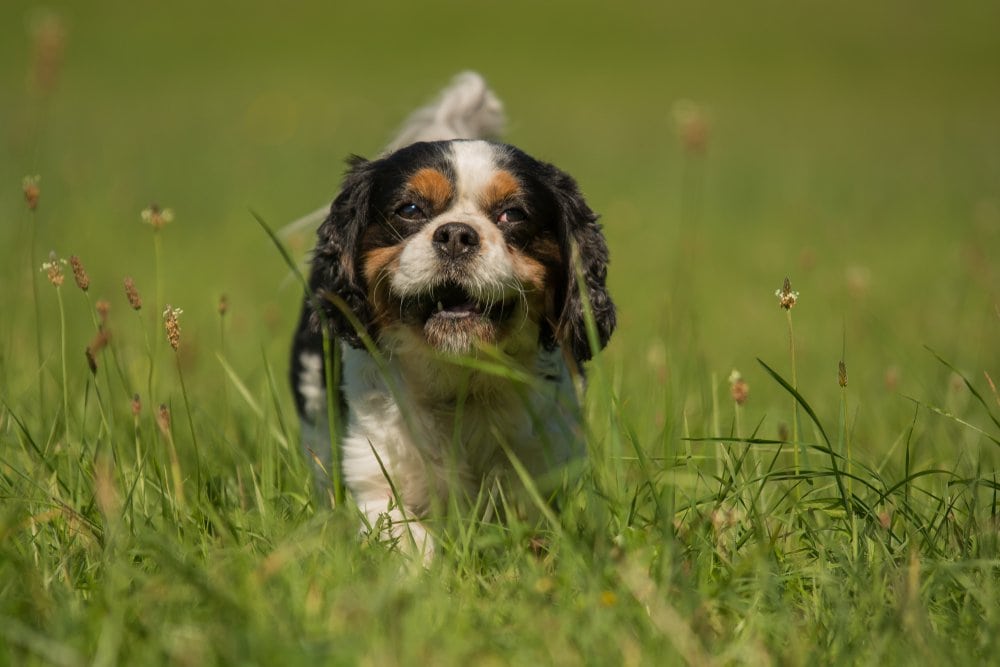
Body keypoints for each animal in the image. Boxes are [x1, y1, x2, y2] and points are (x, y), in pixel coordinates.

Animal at [292, 73, 616, 560]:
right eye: (410, 209)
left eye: (512, 214)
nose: (457, 235)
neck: (458, 380)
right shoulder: (374, 475)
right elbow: (406, 537)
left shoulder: (544, 467)